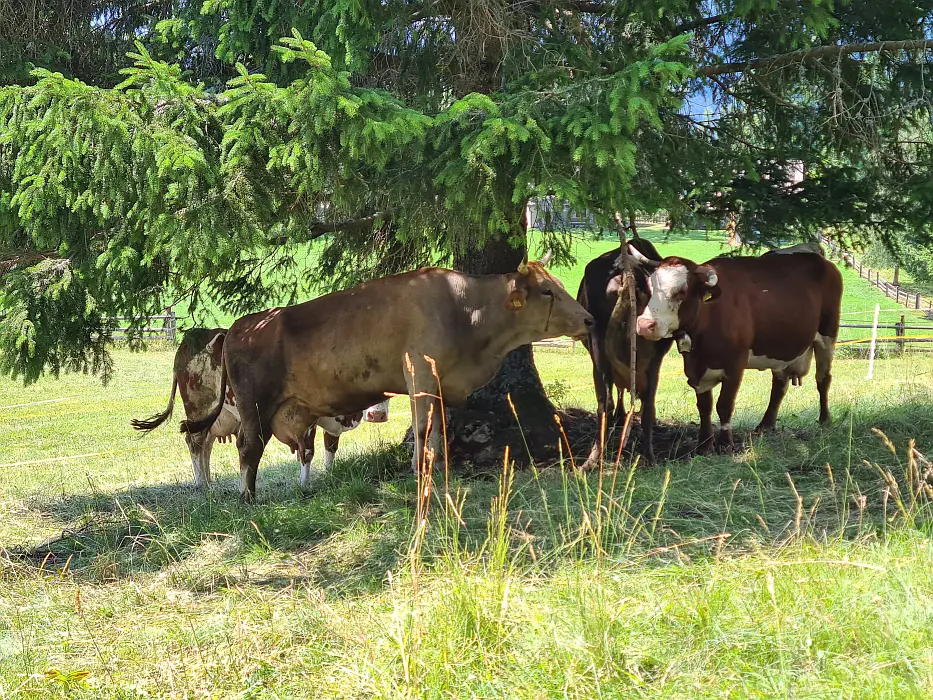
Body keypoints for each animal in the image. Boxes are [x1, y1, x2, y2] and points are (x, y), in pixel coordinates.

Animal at [131, 326, 390, 486]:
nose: (377, 415)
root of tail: (191, 339)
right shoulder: (306, 419)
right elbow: (307, 452)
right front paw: (304, 484)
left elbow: (331, 448)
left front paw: (328, 475)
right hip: (197, 407)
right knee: (194, 442)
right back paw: (202, 484)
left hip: (216, 416)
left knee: (206, 444)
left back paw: (209, 480)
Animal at [178, 254, 592, 500]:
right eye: (547, 290)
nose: (589, 319)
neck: (465, 309)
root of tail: (238, 327)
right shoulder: (420, 377)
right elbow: (423, 430)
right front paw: (420, 473)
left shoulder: (439, 387)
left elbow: (438, 431)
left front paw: (439, 470)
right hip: (255, 408)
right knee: (247, 449)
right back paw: (248, 499)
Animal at [576, 238, 668, 468]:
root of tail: (629, 273)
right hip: (654, 354)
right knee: (646, 404)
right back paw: (649, 457)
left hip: (597, 343)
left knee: (605, 402)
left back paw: (593, 459)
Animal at [628, 241, 840, 452]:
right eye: (650, 287)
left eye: (681, 291)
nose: (645, 325)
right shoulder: (695, 368)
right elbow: (704, 405)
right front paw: (704, 444)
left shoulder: (736, 364)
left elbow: (724, 404)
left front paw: (725, 444)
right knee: (779, 384)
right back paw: (766, 425)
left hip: (827, 335)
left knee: (823, 379)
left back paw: (824, 419)